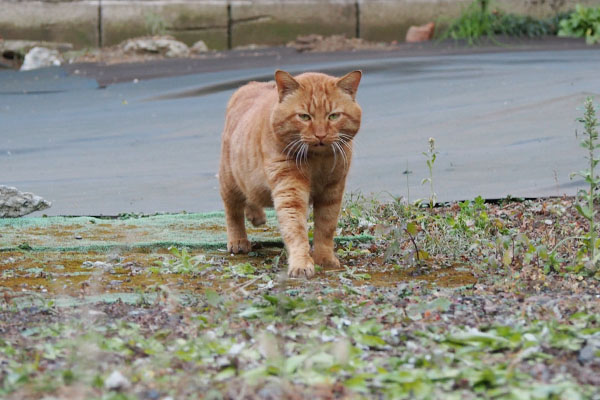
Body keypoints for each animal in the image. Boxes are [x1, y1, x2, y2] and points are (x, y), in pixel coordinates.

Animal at [219, 69, 360, 278]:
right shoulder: (290, 190)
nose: (320, 135)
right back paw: (238, 240)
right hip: (230, 181)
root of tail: (250, 85)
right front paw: (302, 263)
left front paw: (324, 258)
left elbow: (326, 227)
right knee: (233, 211)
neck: (317, 161)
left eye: (334, 116)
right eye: (304, 117)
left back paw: (256, 215)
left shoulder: (332, 192)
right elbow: (296, 229)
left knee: (251, 198)